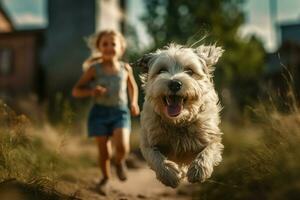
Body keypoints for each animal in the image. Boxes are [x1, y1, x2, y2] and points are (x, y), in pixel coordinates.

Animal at [135, 43, 224, 188]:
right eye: (161, 70)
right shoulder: (149, 140)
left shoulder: (210, 135)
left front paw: (198, 170)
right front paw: (170, 175)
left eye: (189, 71)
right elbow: (155, 156)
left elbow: (209, 149)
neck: (178, 122)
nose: (174, 83)